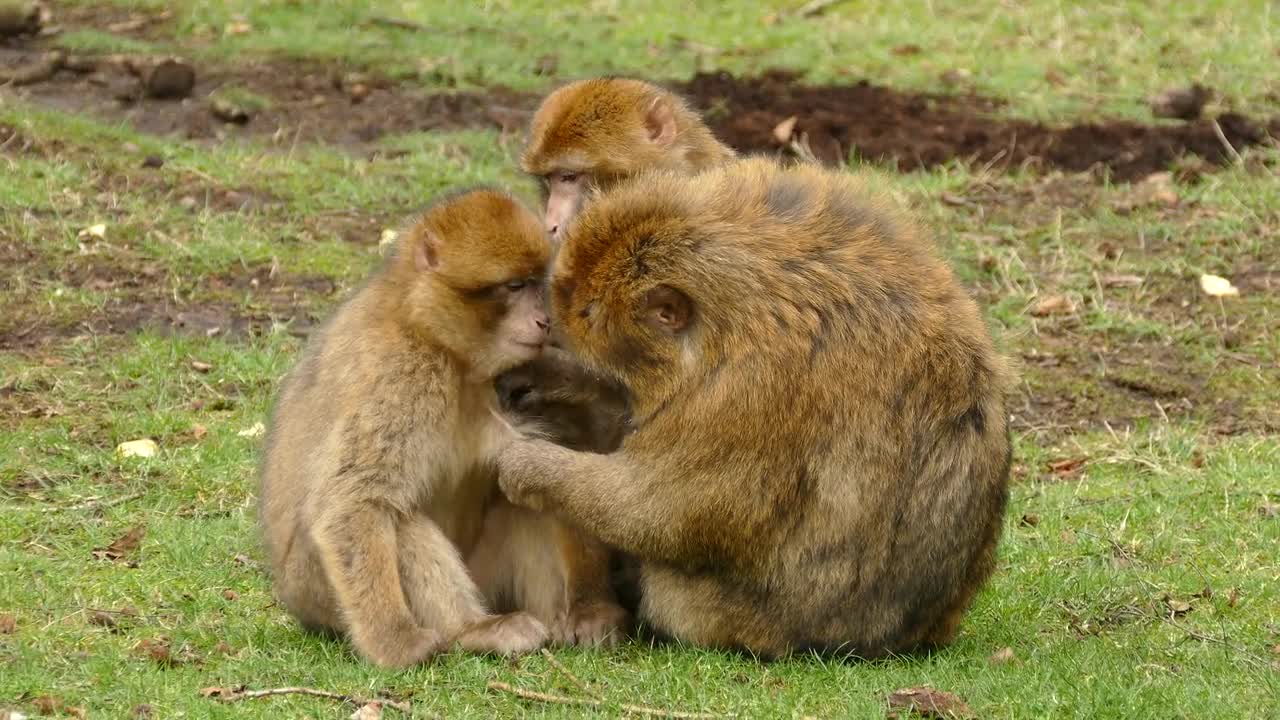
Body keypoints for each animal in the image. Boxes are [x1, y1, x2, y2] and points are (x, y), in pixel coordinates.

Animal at [257, 189, 629, 668]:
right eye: (514, 287)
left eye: (536, 282)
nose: (545, 321)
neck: (441, 343)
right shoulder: (399, 375)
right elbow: (353, 503)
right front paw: (394, 642)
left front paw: (592, 606)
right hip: (318, 591)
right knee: (399, 520)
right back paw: (473, 631)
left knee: (526, 487)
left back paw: (574, 611)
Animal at [495, 157, 1013, 660]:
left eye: (587, 313)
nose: (556, 326)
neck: (733, 314)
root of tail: (913, 636)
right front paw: (551, 375)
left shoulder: (747, 391)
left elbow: (663, 510)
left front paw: (531, 467)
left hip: (745, 618)